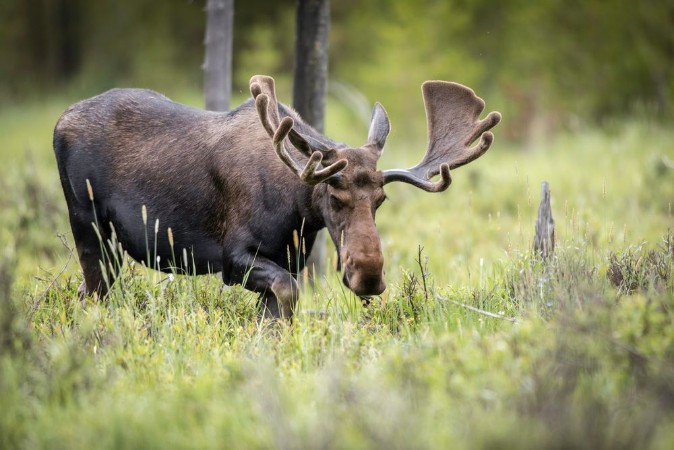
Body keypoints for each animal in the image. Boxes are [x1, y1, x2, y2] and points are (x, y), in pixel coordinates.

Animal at [53, 75, 501, 319]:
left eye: (381, 201)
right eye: (333, 196)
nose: (369, 276)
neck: (296, 213)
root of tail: (60, 120)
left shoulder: (287, 259)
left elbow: (277, 310)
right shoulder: (233, 257)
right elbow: (288, 294)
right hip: (87, 224)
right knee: (92, 293)